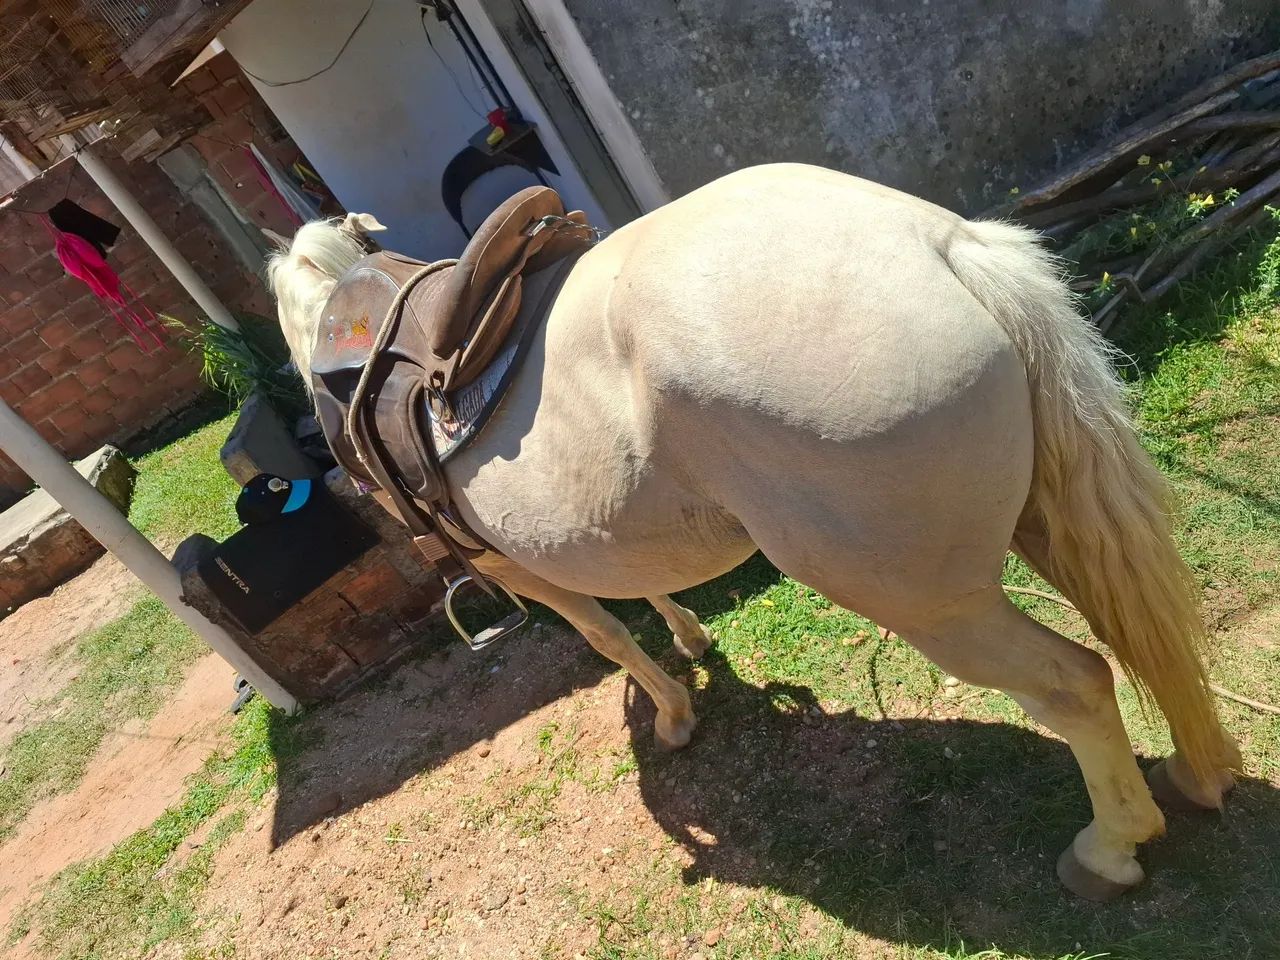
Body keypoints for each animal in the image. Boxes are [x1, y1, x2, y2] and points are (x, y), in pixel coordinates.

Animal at [267, 162, 1240, 900]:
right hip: (1046, 521)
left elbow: (607, 633)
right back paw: (1200, 774)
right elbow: (642, 589)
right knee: (1140, 633)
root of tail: (941, 245)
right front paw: (694, 642)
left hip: (933, 605)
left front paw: (673, 712)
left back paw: (1109, 850)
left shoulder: (519, 569)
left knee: (1078, 683)